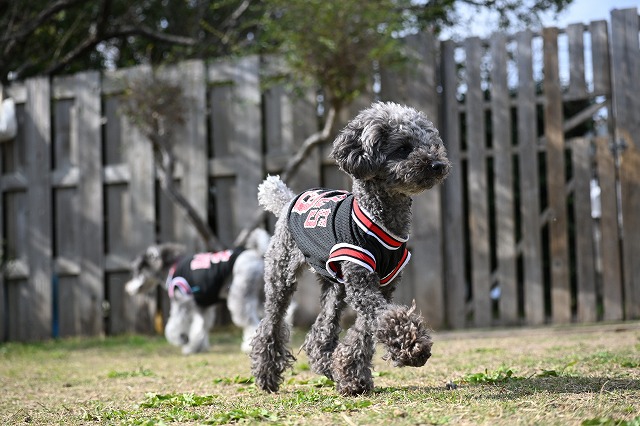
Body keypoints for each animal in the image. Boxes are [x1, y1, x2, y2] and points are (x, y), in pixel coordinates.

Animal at [125, 228, 271, 354]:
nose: (127, 288)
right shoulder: (202, 307)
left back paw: (248, 346)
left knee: (250, 321)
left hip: (240, 295)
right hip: (261, 296)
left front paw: (180, 339)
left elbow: (174, 326)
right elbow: (200, 327)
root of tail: (258, 254)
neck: (172, 267)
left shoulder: (182, 302)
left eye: (136, 271)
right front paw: (194, 348)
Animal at [250, 101, 451, 395]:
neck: (381, 219)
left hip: (335, 284)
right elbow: (385, 317)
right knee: (272, 322)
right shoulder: (361, 281)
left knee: (322, 328)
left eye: (430, 143)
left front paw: (352, 376)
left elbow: (368, 327)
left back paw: (326, 364)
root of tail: (288, 200)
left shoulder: (383, 285)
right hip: (281, 273)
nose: (438, 164)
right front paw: (414, 348)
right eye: (403, 147)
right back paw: (266, 375)